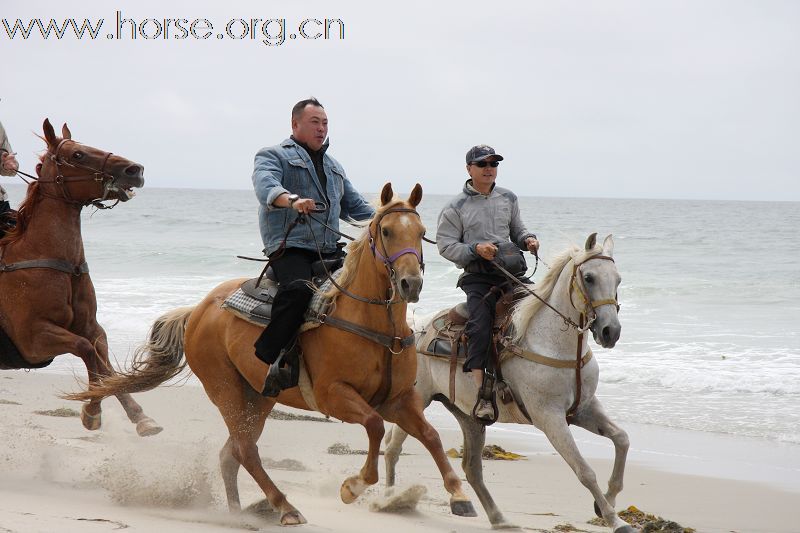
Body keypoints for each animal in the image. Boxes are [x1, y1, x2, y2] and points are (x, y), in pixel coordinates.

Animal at [0, 119, 162, 436]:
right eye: (77, 154)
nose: (135, 170)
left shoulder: (91, 327)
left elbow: (103, 361)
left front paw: (139, 416)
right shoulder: (33, 339)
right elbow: (86, 351)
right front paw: (92, 410)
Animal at [80, 183, 478, 524]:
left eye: (421, 230)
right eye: (387, 231)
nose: (411, 284)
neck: (374, 326)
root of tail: (198, 310)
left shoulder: (399, 398)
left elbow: (431, 435)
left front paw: (459, 496)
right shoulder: (336, 396)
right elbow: (375, 427)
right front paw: (353, 486)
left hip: (258, 397)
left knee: (231, 454)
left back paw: (239, 511)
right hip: (225, 389)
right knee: (245, 451)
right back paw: (285, 507)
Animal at [382, 234, 636, 532]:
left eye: (618, 279)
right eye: (589, 277)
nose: (610, 332)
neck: (553, 343)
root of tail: (415, 330)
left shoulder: (583, 409)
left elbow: (622, 439)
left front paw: (607, 500)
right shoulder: (550, 418)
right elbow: (584, 471)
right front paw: (616, 520)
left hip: (469, 417)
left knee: (472, 469)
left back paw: (496, 517)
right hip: (417, 400)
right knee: (393, 448)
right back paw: (389, 500)